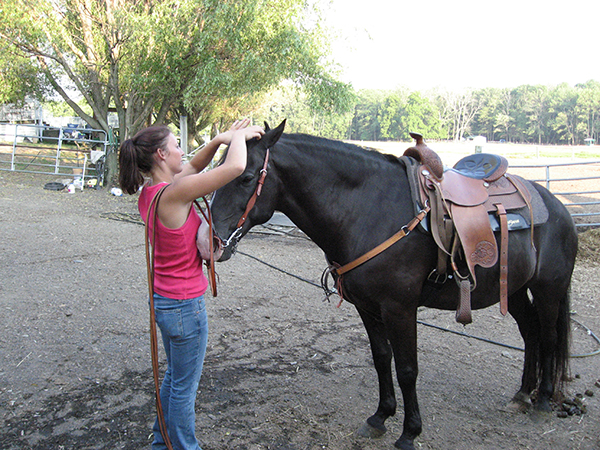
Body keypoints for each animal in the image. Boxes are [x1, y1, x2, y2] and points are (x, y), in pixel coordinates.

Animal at [210, 120, 576, 450]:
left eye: (245, 177)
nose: (213, 242)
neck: (369, 209)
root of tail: (557, 205)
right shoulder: (368, 307)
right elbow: (381, 358)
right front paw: (380, 417)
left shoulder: (400, 309)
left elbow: (407, 369)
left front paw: (410, 432)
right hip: (514, 290)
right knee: (531, 333)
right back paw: (522, 395)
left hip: (549, 289)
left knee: (548, 336)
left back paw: (543, 401)